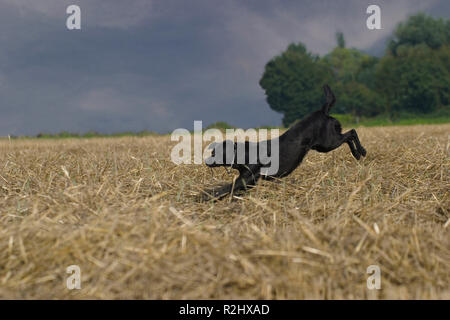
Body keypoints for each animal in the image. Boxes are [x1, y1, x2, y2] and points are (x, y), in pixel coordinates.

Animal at [200, 85, 366, 200]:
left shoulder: (246, 179)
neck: (244, 154)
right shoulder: (249, 182)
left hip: (328, 142)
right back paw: (357, 154)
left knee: (351, 133)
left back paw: (360, 152)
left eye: (214, 153)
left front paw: (207, 198)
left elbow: (226, 188)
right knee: (348, 136)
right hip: (324, 145)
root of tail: (322, 111)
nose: (205, 161)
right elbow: (229, 189)